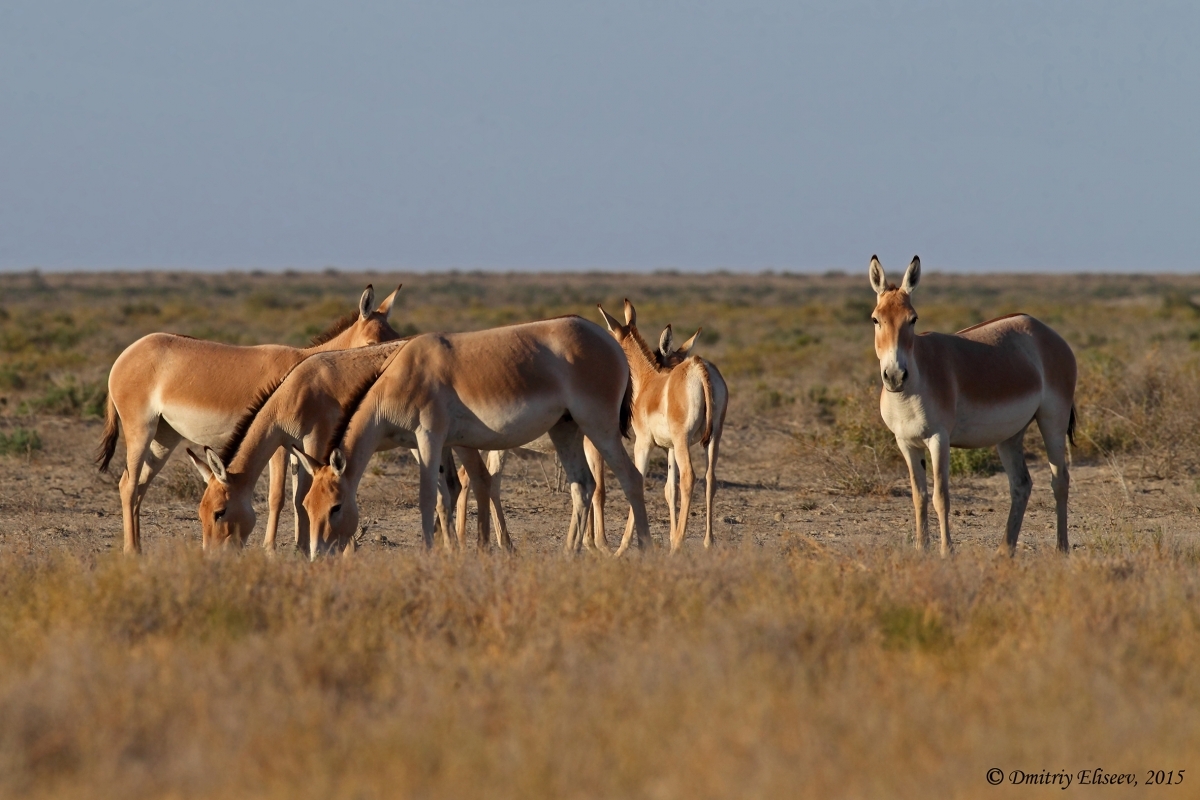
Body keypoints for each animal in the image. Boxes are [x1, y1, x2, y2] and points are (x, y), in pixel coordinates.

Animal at [868, 257, 1075, 556]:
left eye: (913, 319)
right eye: (875, 319)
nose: (895, 376)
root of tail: (1044, 329)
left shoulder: (939, 438)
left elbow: (940, 496)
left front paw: (946, 552)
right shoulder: (905, 442)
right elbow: (919, 496)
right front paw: (921, 549)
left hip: (1053, 420)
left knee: (1060, 481)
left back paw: (1061, 549)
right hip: (1011, 433)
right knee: (1021, 484)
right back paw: (1004, 550)